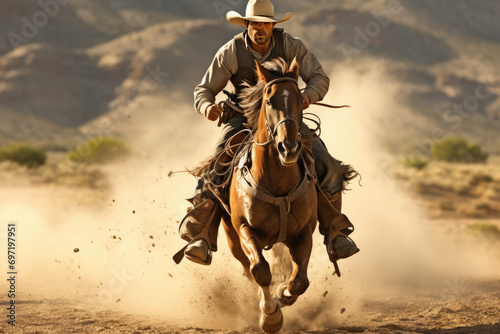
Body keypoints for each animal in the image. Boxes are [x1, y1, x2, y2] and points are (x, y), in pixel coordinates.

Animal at [222, 58, 316, 334]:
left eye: (300, 98)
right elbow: (260, 270)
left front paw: (282, 293)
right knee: (247, 267)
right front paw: (270, 315)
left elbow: (299, 281)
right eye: (269, 100)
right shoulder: (245, 228)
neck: (276, 183)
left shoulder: (304, 231)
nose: (289, 148)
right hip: (231, 237)